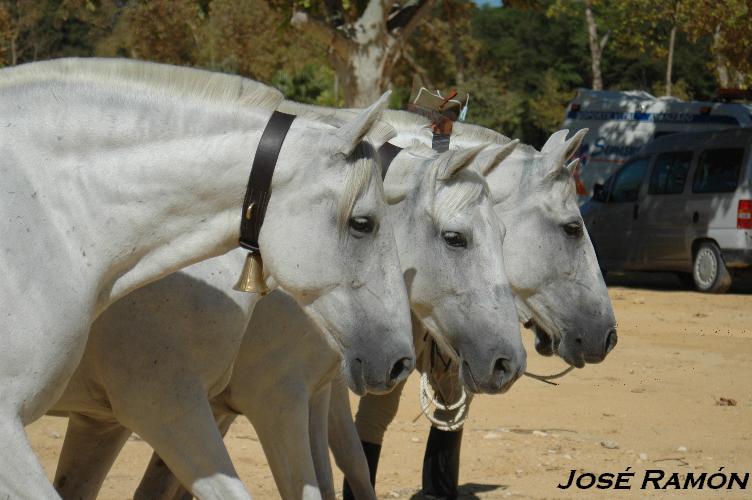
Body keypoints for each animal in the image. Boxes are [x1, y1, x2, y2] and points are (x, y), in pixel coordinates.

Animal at [51, 137, 524, 500]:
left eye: (505, 234)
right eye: (455, 238)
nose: (510, 362)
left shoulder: (306, 396)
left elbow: (346, 467)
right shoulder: (265, 403)